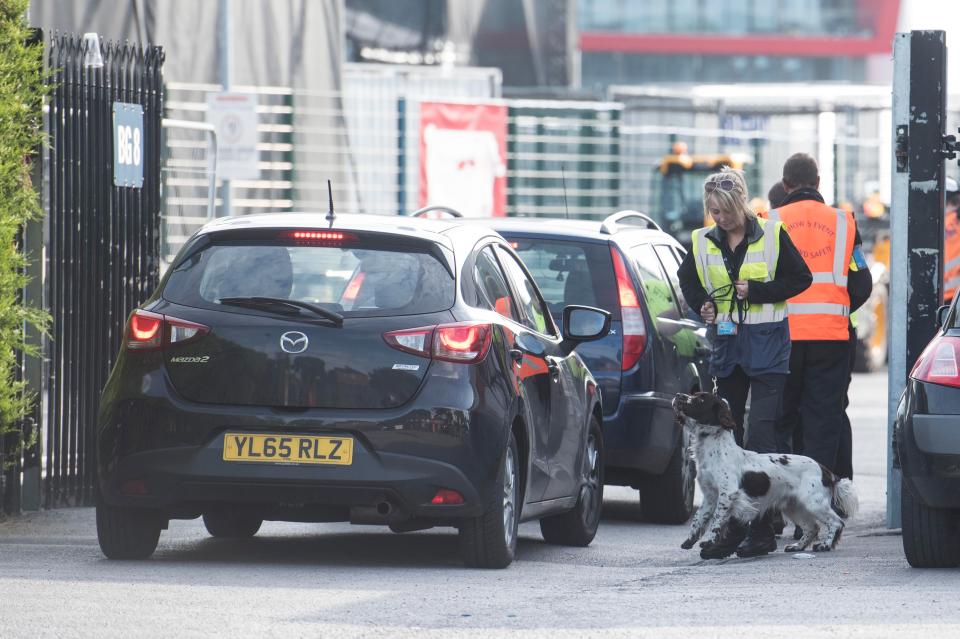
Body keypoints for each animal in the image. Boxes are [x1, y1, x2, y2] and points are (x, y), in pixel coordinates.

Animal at [672, 392, 860, 552]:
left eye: (700, 399)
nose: (678, 395)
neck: (714, 449)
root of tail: (826, 471)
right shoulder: (710, 494)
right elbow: (699, 518)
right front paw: (689, 540)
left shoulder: (727, 493)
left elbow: (717, 521)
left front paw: (709, 542)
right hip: (794, 505)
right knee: (812, 528)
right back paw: (797, 546)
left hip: (813, 502)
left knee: (836, 522)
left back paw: (824, 545)